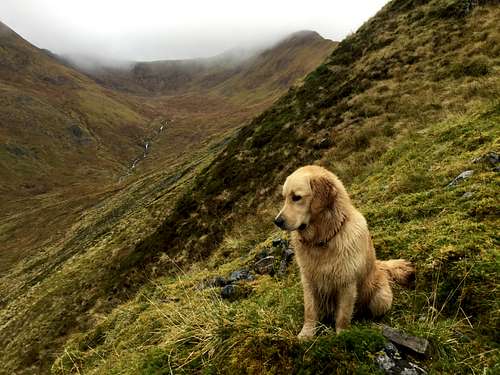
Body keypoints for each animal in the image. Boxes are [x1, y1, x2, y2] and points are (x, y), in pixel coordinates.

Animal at [274, 166, 414, 340]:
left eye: (296, 197)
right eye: (284, 198)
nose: (277, 221)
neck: (323, 240)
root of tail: (378, 266)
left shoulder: (347, 283)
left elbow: (343, 315)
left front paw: (342, 335)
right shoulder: (308, 281)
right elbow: (310, 311)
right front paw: (307, 333)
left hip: (381, 299)